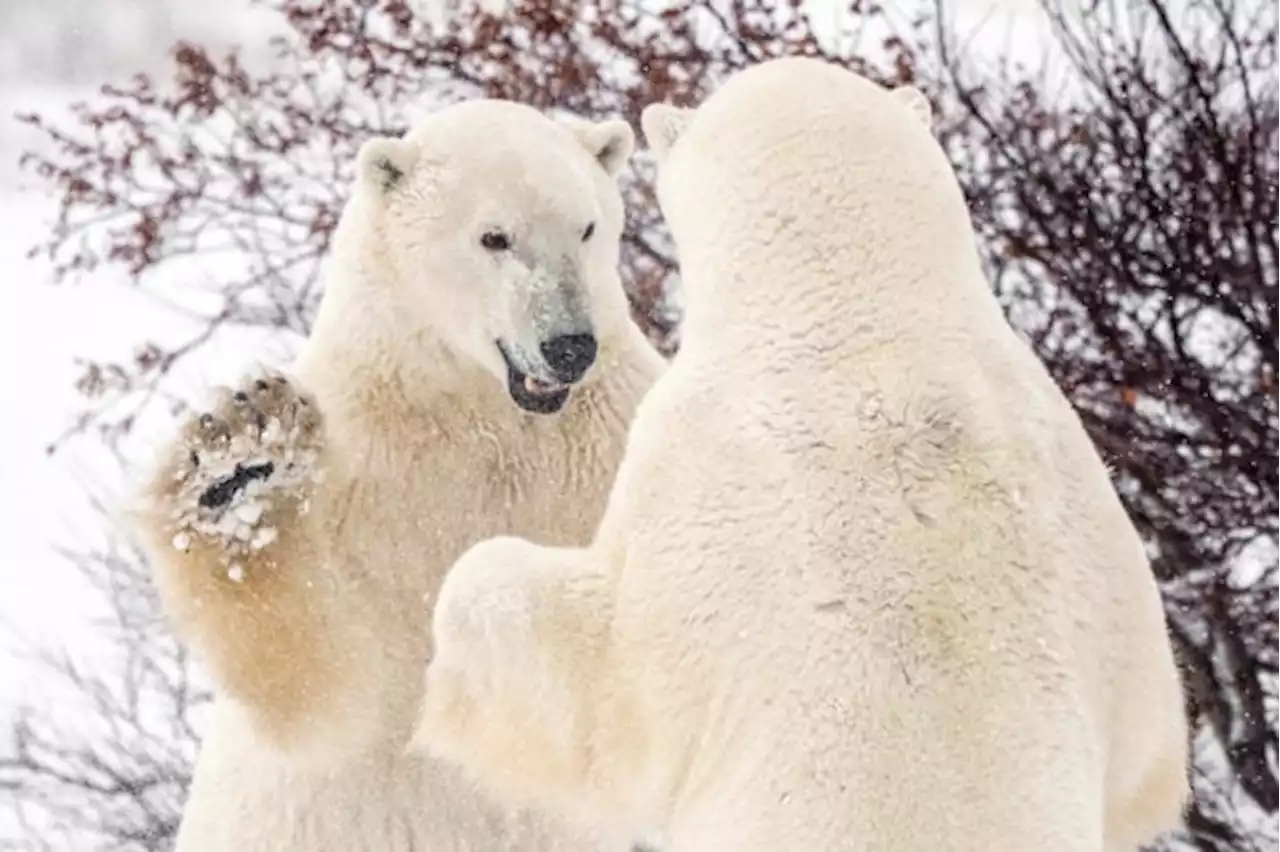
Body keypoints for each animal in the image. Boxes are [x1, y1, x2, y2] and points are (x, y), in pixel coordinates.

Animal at [133, 101, 665, 849]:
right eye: (494, 237)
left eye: (587, 227)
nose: (569, 346)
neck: (486, 415)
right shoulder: (360, 472)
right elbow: (320, 685)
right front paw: (235, 468)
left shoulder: (615, 435)